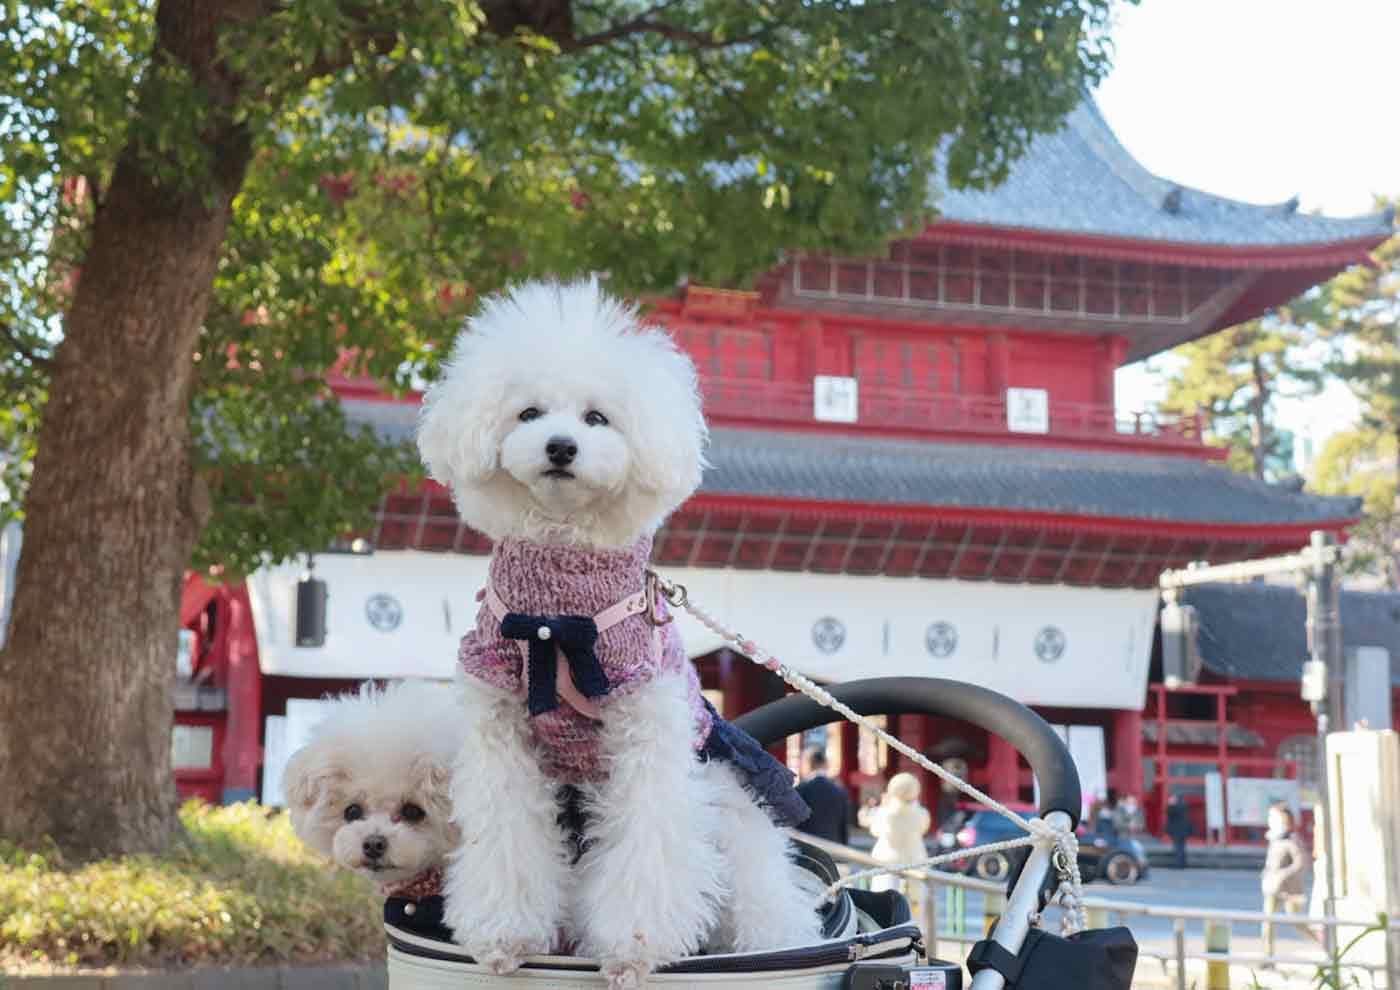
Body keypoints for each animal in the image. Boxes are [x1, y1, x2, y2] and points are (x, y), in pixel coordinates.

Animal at [414, 281, 817, 990]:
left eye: (597, 419)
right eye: (528, 413)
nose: (560, 447)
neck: (557, 609)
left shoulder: (645, 724)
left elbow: (648, 845)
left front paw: (633, 948)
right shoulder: (499, 728)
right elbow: (507, 835)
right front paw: (503, 936)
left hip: (731, 813)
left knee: (765, 896)